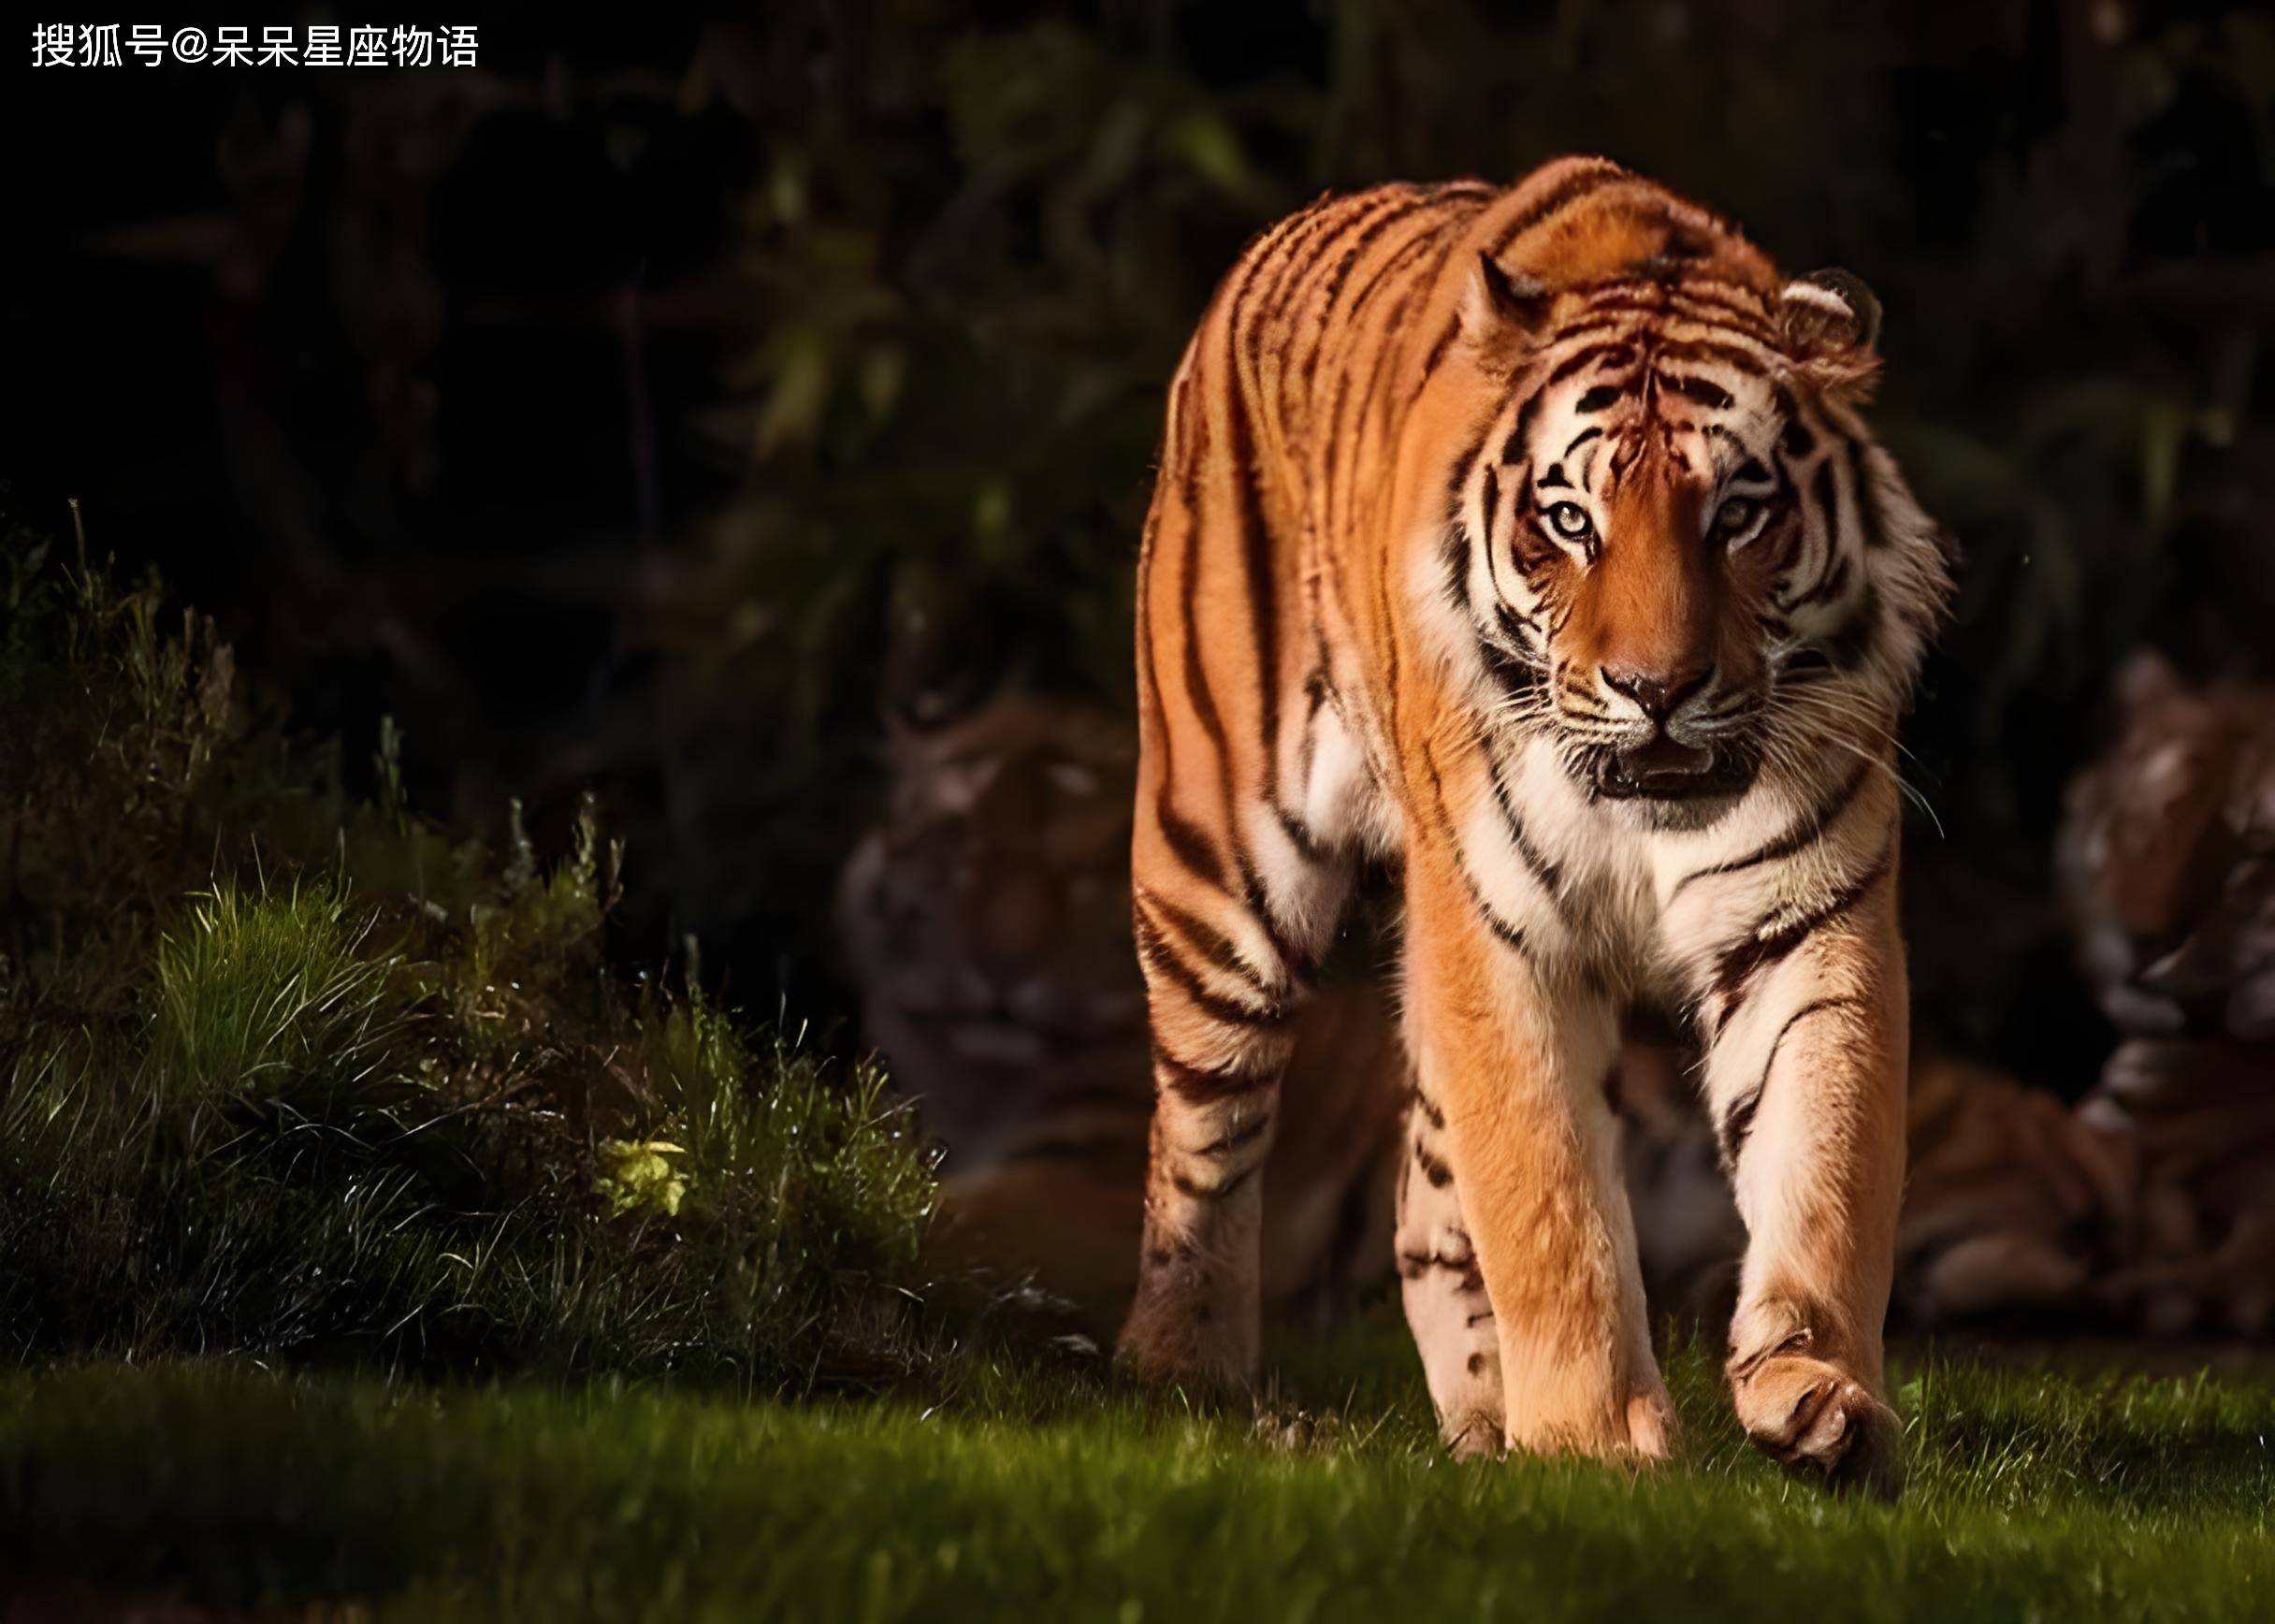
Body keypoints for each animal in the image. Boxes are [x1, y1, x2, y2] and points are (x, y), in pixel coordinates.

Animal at [1119, 154, 1956, 1491]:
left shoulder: (1807, 925)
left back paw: (1478, 1427)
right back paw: (1182, 1371)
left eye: (1737, 512)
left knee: (1419, 1206)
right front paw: (1595, 1440)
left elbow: (1826, 1160)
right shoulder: (1497, 935)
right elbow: (1546, 1196)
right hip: (1218, 874)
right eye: (1570, 519)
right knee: (1200, 1131)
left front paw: (1821, 1399)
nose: (1655, 688)